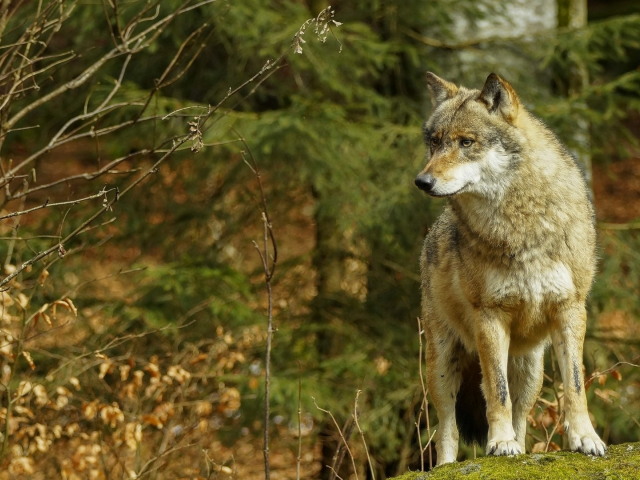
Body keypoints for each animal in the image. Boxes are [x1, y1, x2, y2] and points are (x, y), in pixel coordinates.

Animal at [416, 72, 604, 464]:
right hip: (442, 365)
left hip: (530, 371)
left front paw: (585, 438)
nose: (422, 181)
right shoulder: (490, 315)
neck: (521, 224)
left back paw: (520, 447)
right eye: (435, 143)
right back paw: (448, 464)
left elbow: (575, 385)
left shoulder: (571, 309)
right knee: (447, 428)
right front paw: (499, 443)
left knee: (521, 417)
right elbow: (496, 393)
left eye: (466, 142)